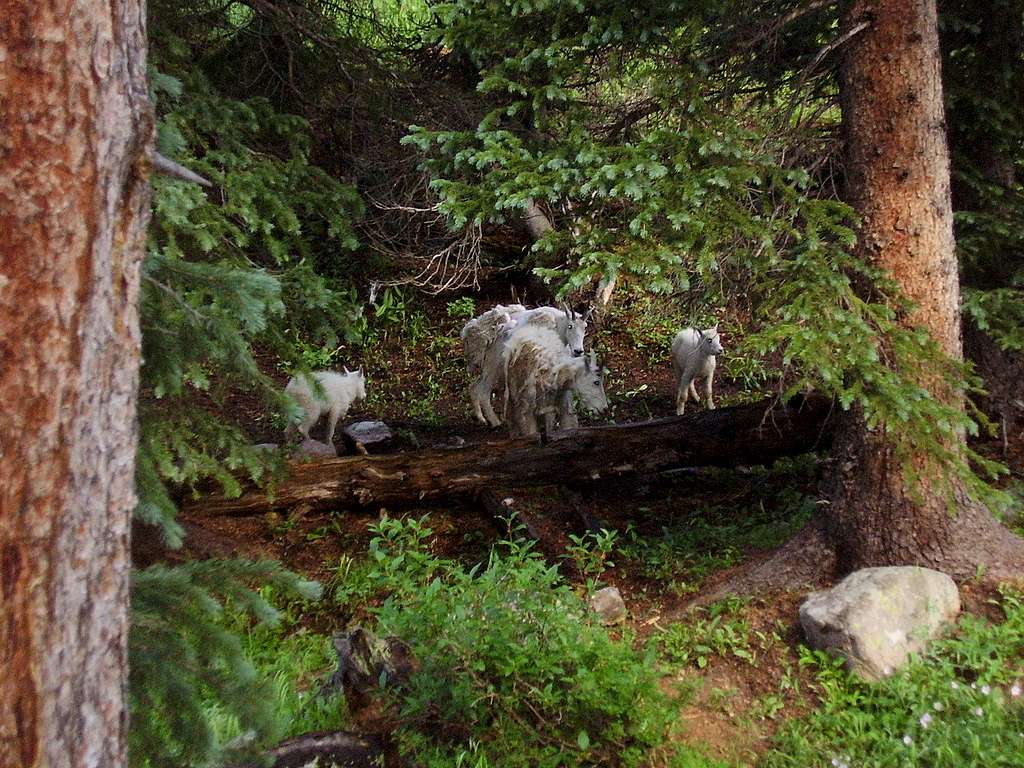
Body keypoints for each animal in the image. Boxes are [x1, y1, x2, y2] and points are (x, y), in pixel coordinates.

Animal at [460, 305, 589, 428]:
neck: (558, 327)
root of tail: (469, 333)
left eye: (585, 328)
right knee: (482, 389)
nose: (578, 351)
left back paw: (482, 418)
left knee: (475, 386)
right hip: (493, 364)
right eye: (570, 326)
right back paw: (494, 422)